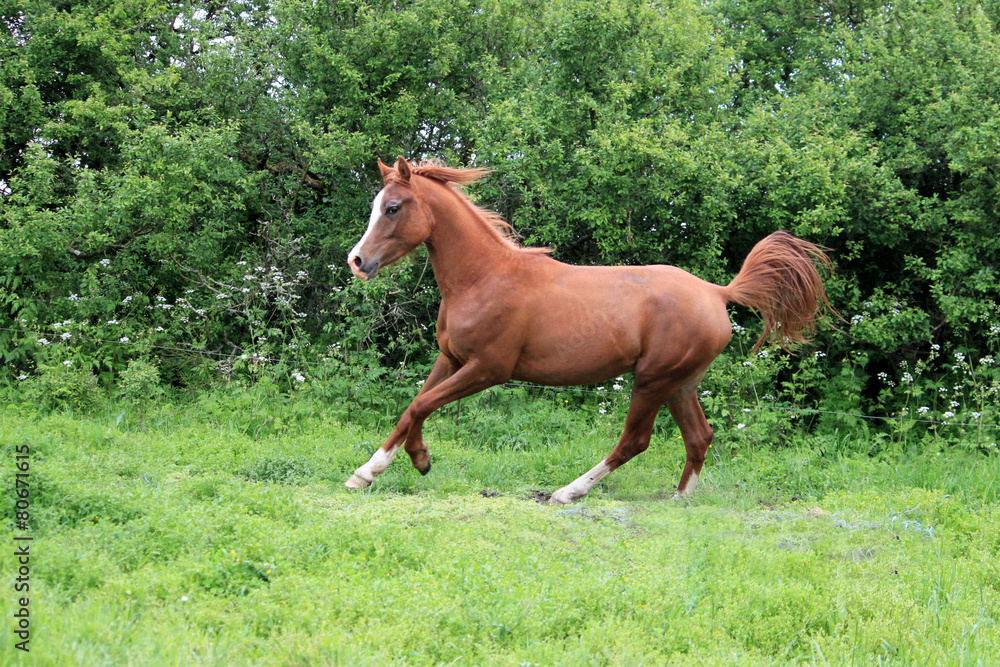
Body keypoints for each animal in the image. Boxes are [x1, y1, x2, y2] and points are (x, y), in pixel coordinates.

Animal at [344, 156, 832, 504]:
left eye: (392, 208)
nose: (357, 261)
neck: (484, 278)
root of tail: (717, 292)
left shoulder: (488, 368)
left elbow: (421, 405)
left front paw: (419, 461)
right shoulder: (451, 359)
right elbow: (411, 408)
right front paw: (366, 473)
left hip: (652, 380)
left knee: (635, 441)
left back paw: (568, 492)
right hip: (681, 383)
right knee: (699, 437)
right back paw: (679, 500)